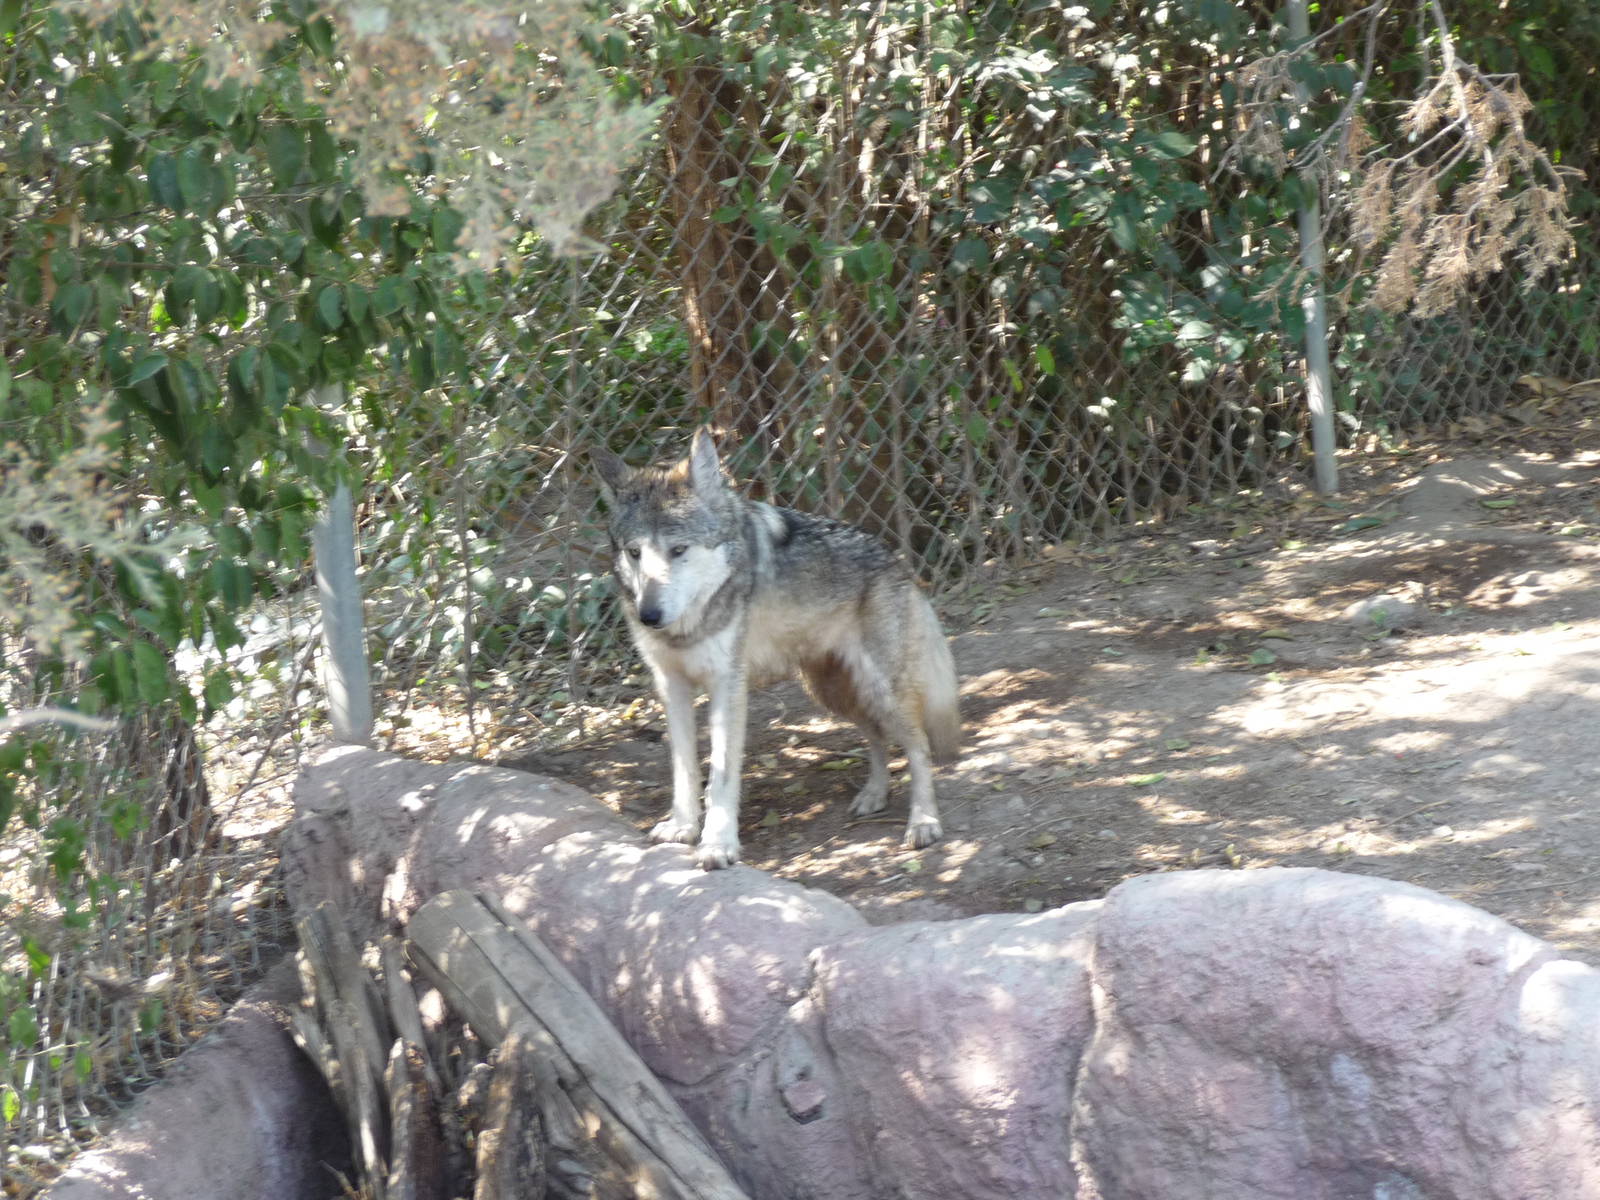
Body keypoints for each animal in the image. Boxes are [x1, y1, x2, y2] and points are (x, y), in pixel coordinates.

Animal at [594, 428, 961, 870]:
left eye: (678, 550)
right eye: (634, 553)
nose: (649, 615)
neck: (689, 627)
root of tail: (898, 560)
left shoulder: (727, 687)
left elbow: (721, 775)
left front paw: (718, 845)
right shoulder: (671, 686)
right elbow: (683, 769)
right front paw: (682, 826)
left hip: (881, 688)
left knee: (918, 745)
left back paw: (923, 821)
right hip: (833, 694)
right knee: (876, 736)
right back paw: (875, 794)